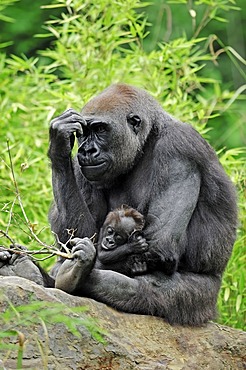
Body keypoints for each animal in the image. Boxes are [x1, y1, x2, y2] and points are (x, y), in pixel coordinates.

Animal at [0, 83, 238, 324]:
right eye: (83, 133)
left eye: (100, 129)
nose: (86, 150)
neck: (147, 140)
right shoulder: (83, 167)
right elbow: (77, 236)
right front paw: (59, 144)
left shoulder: (179, 148)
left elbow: (159, 245)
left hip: (204, 301)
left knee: (142, 288)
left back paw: (71, 274)